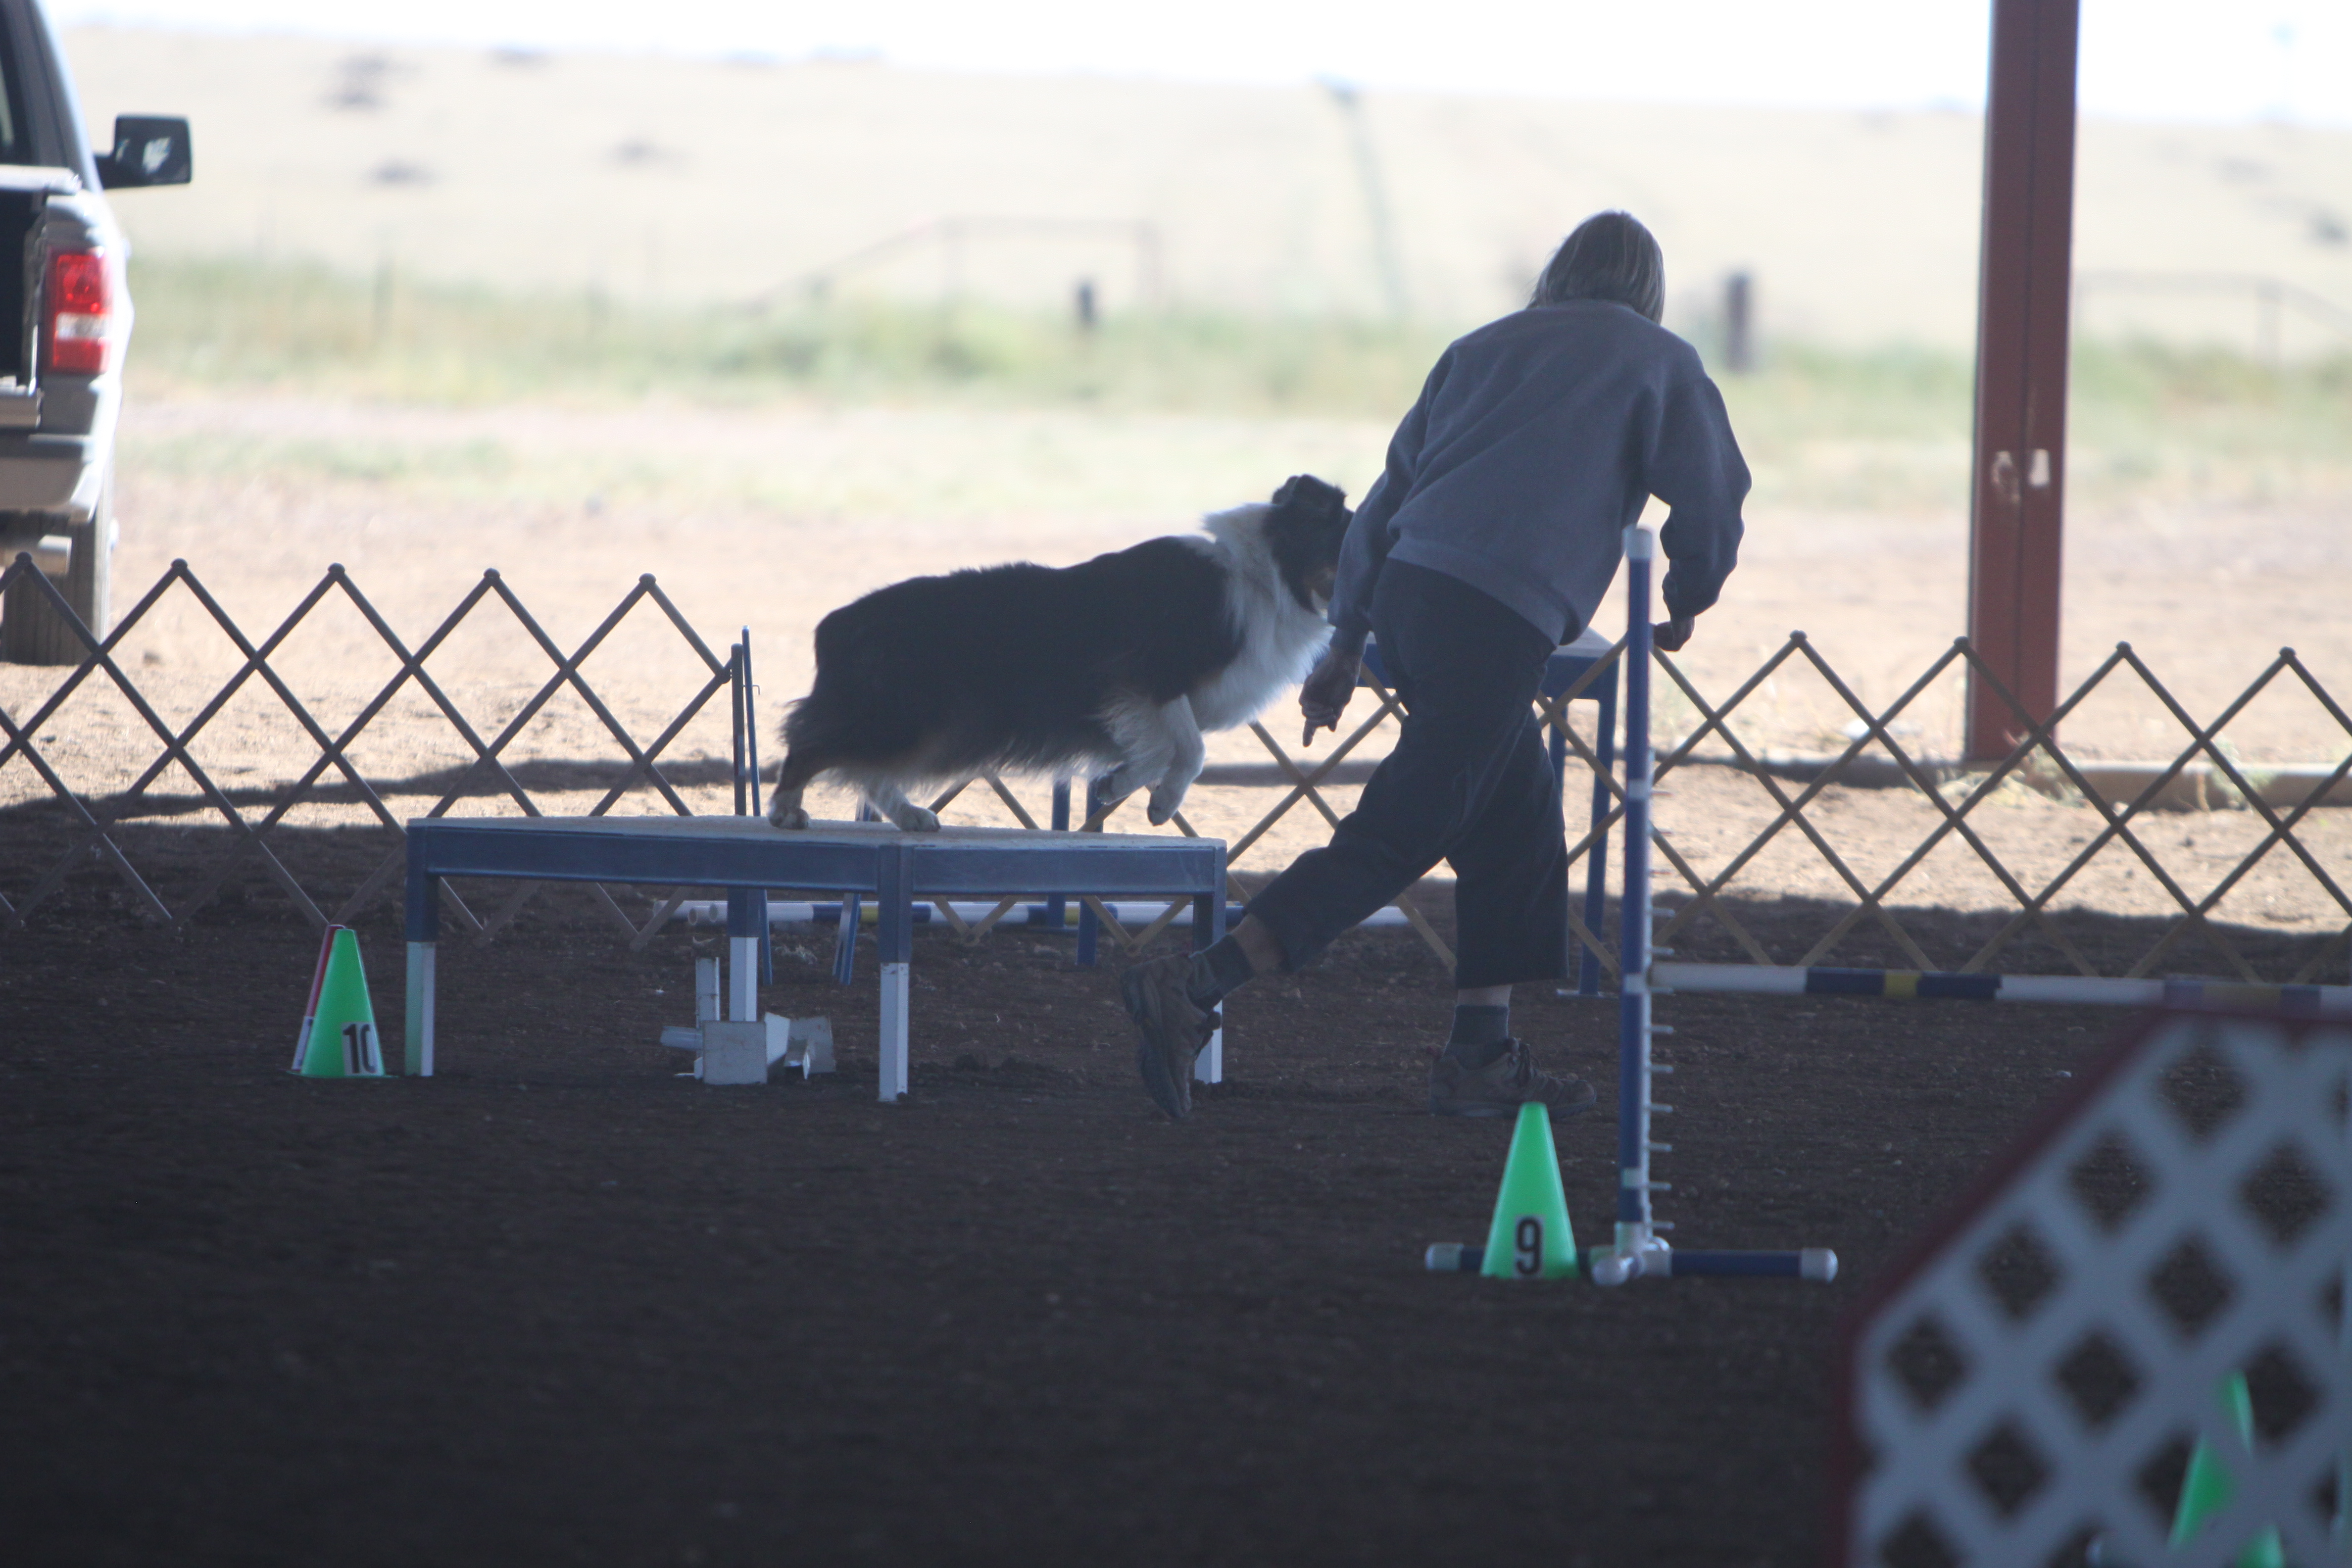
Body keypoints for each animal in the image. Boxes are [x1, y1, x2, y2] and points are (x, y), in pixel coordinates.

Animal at [767, 474, 1353, 833]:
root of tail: (835, 624)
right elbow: (1191, 751)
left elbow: (1161, 754)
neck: (1264, 577)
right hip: (904, 715)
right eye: (1348, 535)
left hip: (929, 728)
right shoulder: (1150, 675)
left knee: (867, 769)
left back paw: (912, 815)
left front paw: (1122, 785)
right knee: (810, 743)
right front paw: (1160, 802)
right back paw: (785, 810)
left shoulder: (1138, 700)